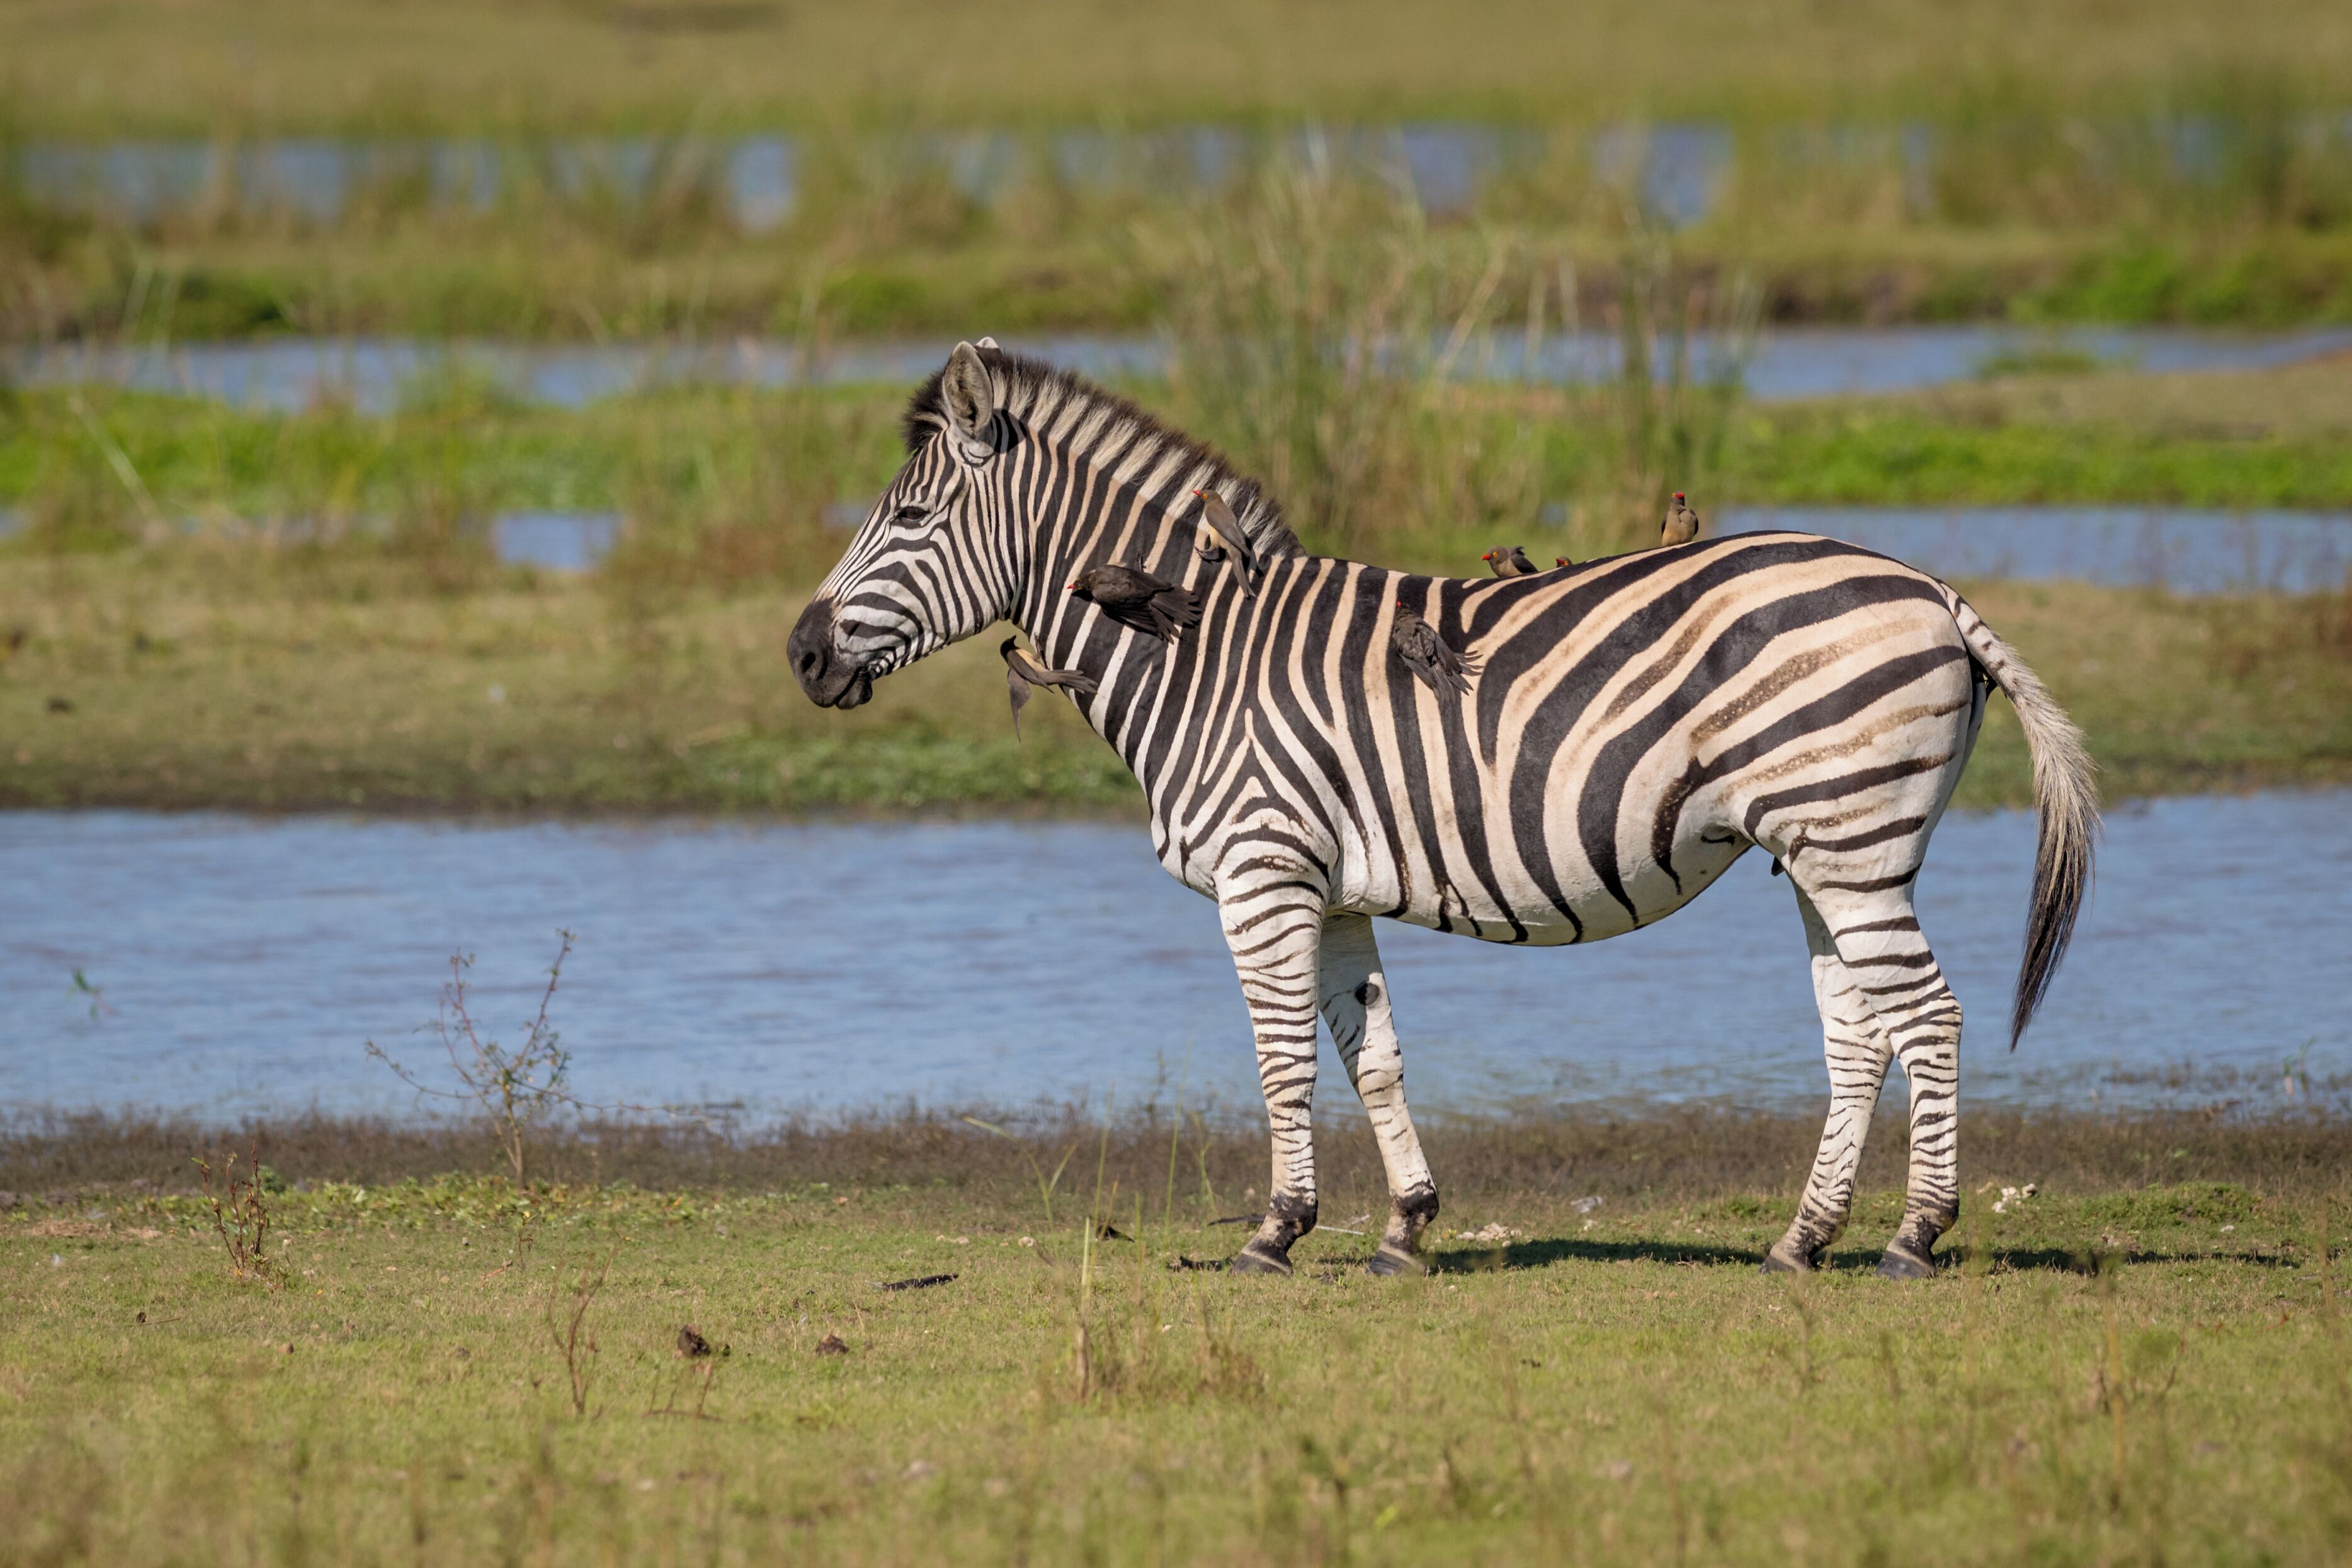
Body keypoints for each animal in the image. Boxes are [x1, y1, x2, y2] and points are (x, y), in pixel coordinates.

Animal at [789, 341, 2097, 1280]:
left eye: (909, 522)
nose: (801, 654)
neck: (1194, 647)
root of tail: (1931, 588)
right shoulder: (1329, 891)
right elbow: (1371, 1055)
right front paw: (1405, 1229)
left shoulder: (1263, 875)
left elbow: (1279, 1058)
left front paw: (1276, 1231)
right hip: (1828, 850)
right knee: (1861, 1031)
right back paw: (1802, 1240)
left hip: (1850, 839)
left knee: (1929, 1017)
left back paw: (1913, 1238)